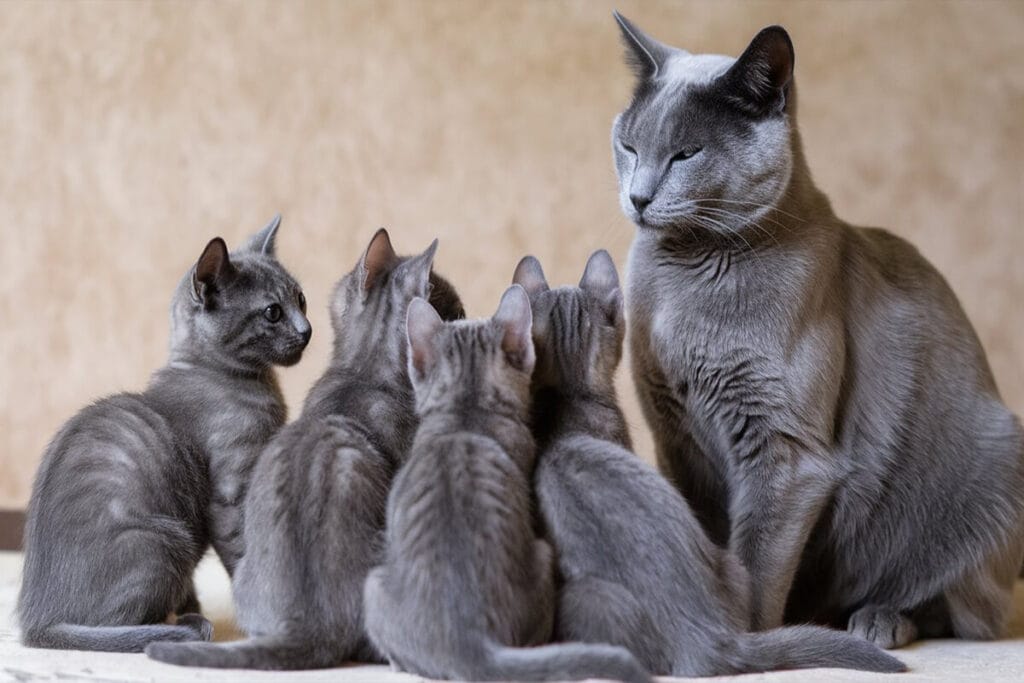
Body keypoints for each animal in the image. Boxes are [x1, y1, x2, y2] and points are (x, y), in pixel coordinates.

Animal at [18, 215, 307, 651]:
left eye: (301, 300)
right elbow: (243, 548)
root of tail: (36, 621)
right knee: (114, 625)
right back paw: (179, 627)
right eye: (273, 312)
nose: (307, 330)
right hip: (161, 540)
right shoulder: (229, 493)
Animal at [606, 12, 1024, 651]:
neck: (687, 276)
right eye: (629, 146)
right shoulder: (676, 440)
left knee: (959, 610)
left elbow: (755, 562)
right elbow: (704, 530)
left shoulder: (786, 452)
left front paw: (749, 641)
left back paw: (879, 620)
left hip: (993, 465)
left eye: (685, 154)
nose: (639, 197)